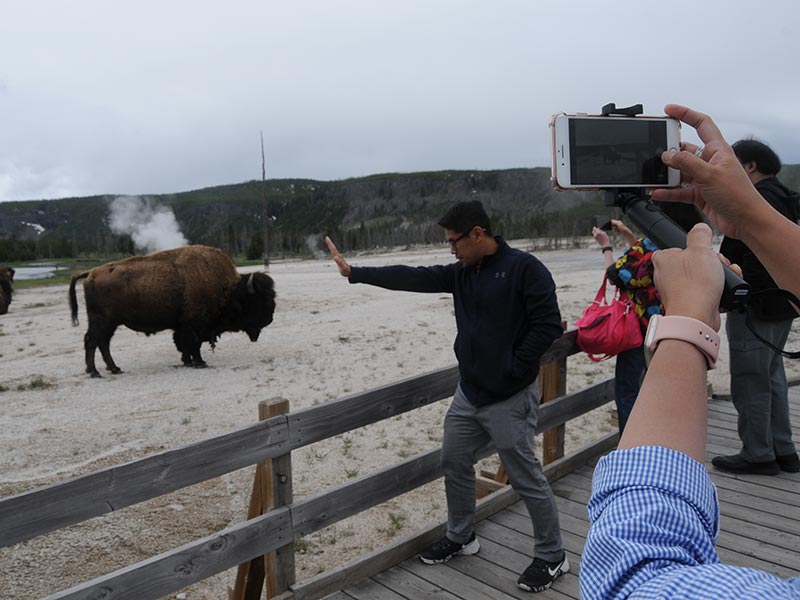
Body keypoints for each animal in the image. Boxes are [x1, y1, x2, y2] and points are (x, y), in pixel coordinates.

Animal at [69, 243, 276, 376]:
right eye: (258, 300)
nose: (269, 319)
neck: (227, 288)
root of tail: (90, 273)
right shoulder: (195, 325)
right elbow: (193, 344)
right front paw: (200, 363)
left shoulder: (183, 326)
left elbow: (185, 344)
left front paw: (187, 361)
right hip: (103, 321)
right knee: (92, 341)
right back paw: (95, 372)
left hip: (109, 324)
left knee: (102, 343)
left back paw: (113, 369)